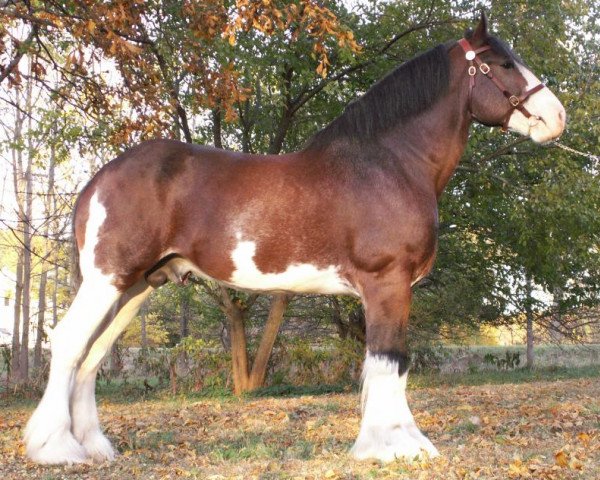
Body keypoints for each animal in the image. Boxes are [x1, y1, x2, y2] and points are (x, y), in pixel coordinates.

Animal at [24, 13, 568, 464]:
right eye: (503, 63)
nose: (557, 117)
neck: (391, 162)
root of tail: (98, 180)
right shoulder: (388, 282)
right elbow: (390, 359)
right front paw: (396, 446)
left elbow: (384, 364)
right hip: (108, 280)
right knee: (70, 342)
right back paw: (56, 449)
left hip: (137, 286)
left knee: (92, 354)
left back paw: (94, 446)